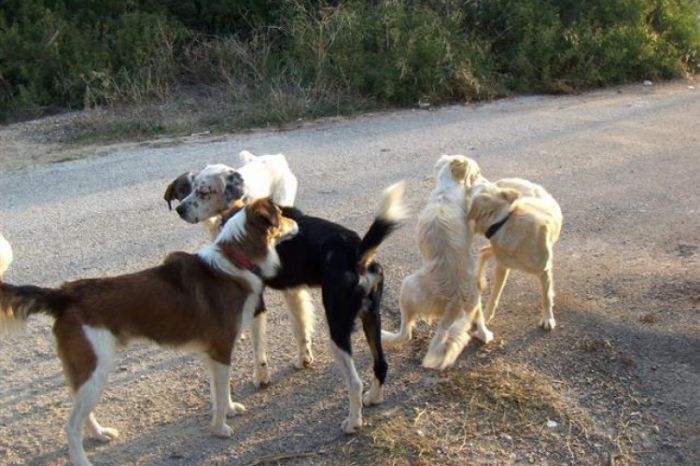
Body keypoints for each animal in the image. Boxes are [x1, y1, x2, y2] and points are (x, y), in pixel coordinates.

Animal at [0, 198, 298, 466]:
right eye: (281, 214)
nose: (296, 223)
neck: (234, 261)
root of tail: (65, 294)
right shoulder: (222, 349)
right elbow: (222, 393)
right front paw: (220, 428)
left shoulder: (211, 354)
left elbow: (219, 393)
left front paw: (231, 410)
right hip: (95, 369)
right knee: (71, 426)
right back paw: (82, 460)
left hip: (88, 373)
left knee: (80, 413)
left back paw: (99, 434)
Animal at [380, 157, 490, 372]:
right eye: (477, 172)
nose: (485, 181)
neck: (446, 190)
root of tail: (455, 303)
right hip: (475, 296)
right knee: (481, 324)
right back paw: (484, 333)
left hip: (407, 285)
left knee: (406, 333)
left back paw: (385, 335)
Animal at [468, 177, 568, 330]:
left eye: (478, 186)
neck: (504, 221)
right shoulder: (502, 266)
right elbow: (495, 295)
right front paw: (486, 316)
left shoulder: (544, 269)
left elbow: (546, 296)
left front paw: (547, 318)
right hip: (497, 253)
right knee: (483, 251)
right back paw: (478, 279)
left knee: (484, 251)